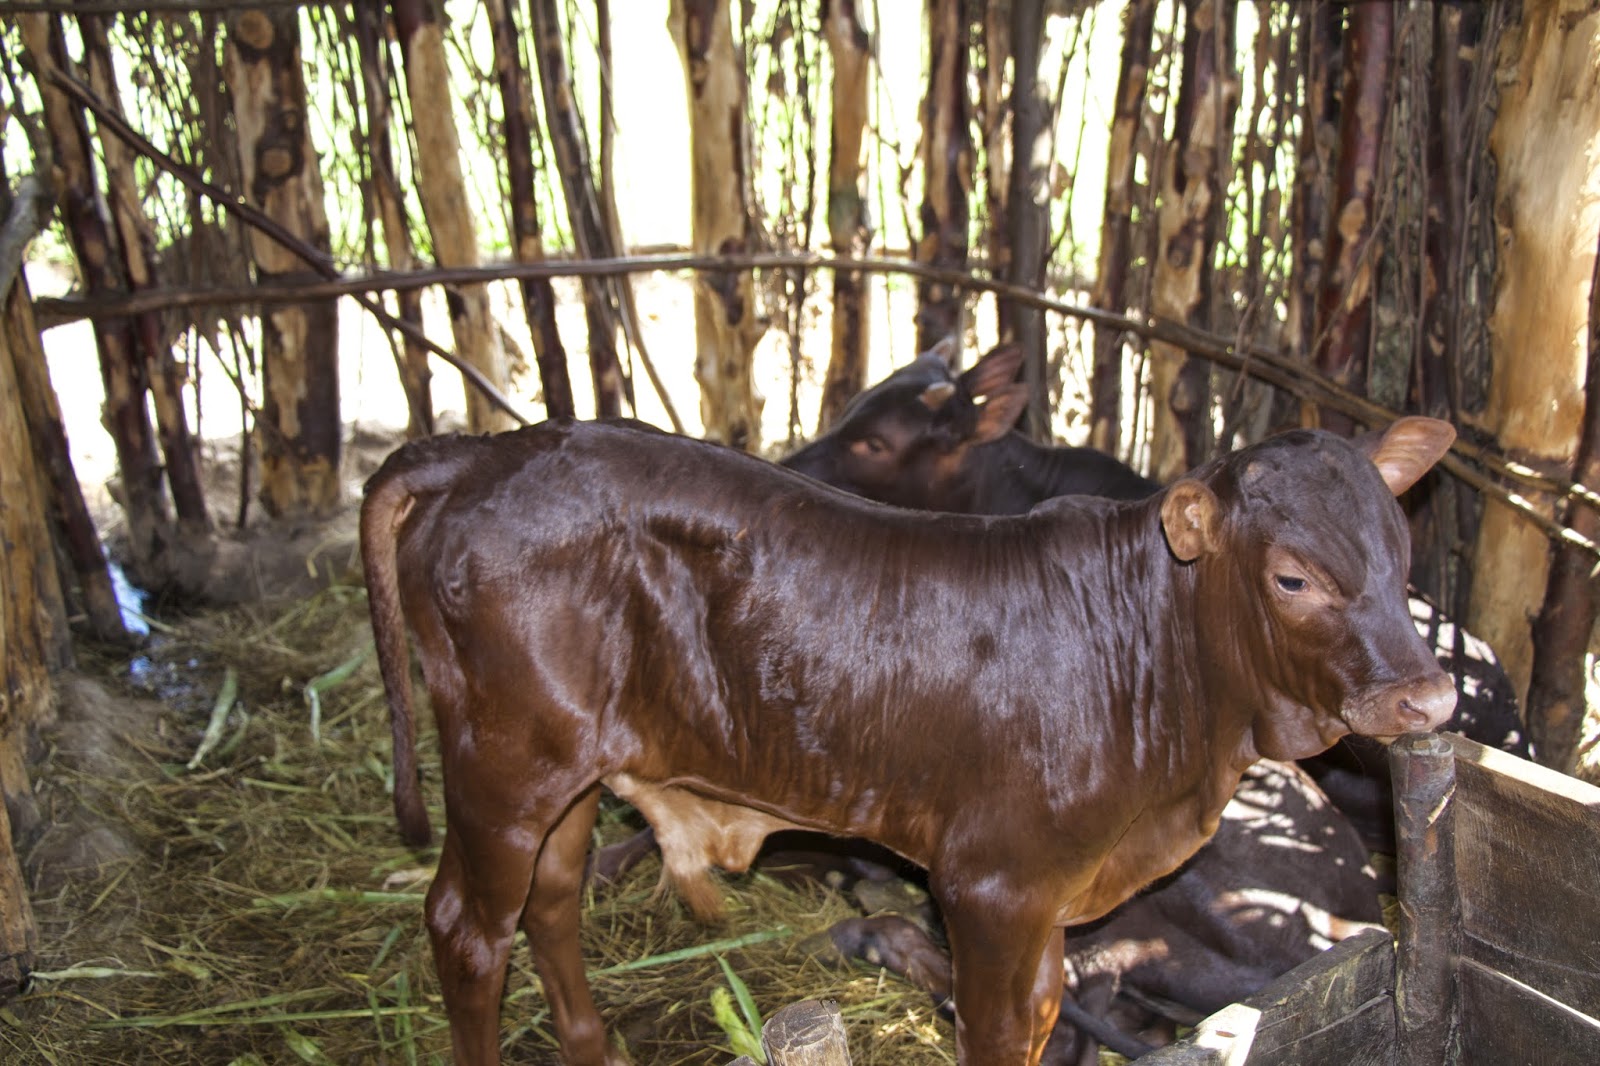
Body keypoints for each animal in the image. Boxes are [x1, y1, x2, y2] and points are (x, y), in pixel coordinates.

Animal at [361, 414, 1457, 1066]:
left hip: (572, 765)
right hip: (503, 760)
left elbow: (1045, 1012)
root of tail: (489, 449)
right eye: (1292, 577)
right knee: (466, 927)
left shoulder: (1049, 897)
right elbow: (998, 1029)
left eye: (1401, 552)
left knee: (548, 899)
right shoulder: (990, 883)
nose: (1427, 696)